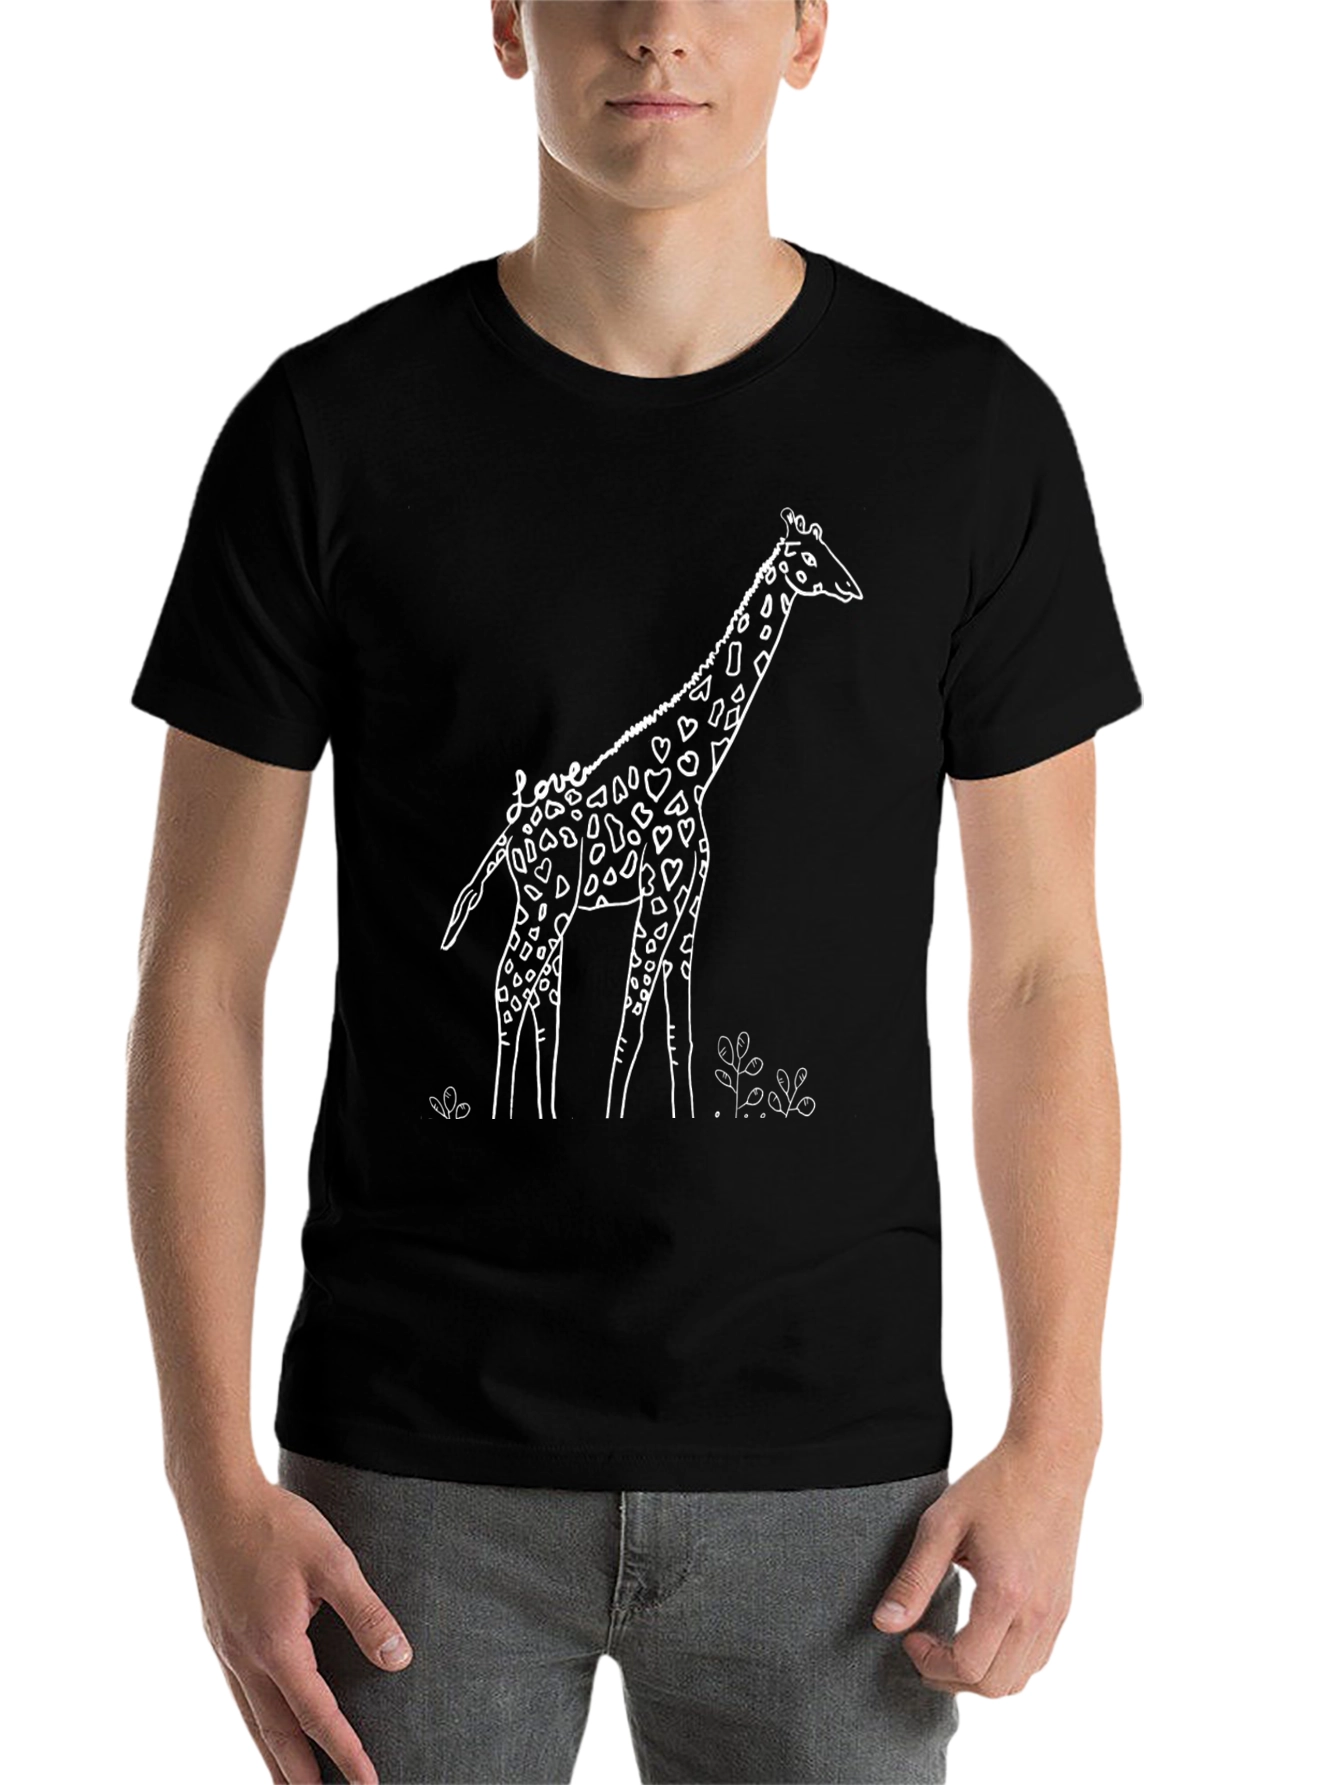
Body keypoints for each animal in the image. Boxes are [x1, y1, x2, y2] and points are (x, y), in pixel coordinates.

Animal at [440, 507, 863, 1118]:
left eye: (827, 548)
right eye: (807, 556)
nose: (852, 587)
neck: (696, 769)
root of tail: (507, 841)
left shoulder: (688, 899)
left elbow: (675, 1033)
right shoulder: (658, 894)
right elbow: (631, 1026)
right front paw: (614, 1115)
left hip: (548, 908)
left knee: (541, 1003)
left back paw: (540, 1111)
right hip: (547, 904)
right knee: (510, 987)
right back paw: (502, 1111)